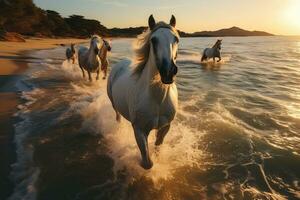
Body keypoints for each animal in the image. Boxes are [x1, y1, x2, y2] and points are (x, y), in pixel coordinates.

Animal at [107, 14, 179, 170]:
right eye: (154, 40)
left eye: (176, 39)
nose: (169, 71)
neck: (157, 99)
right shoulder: (139, 130)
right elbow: (147, 163)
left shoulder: (165, 127)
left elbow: (157, 146)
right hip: (114, 106)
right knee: (118, 117)